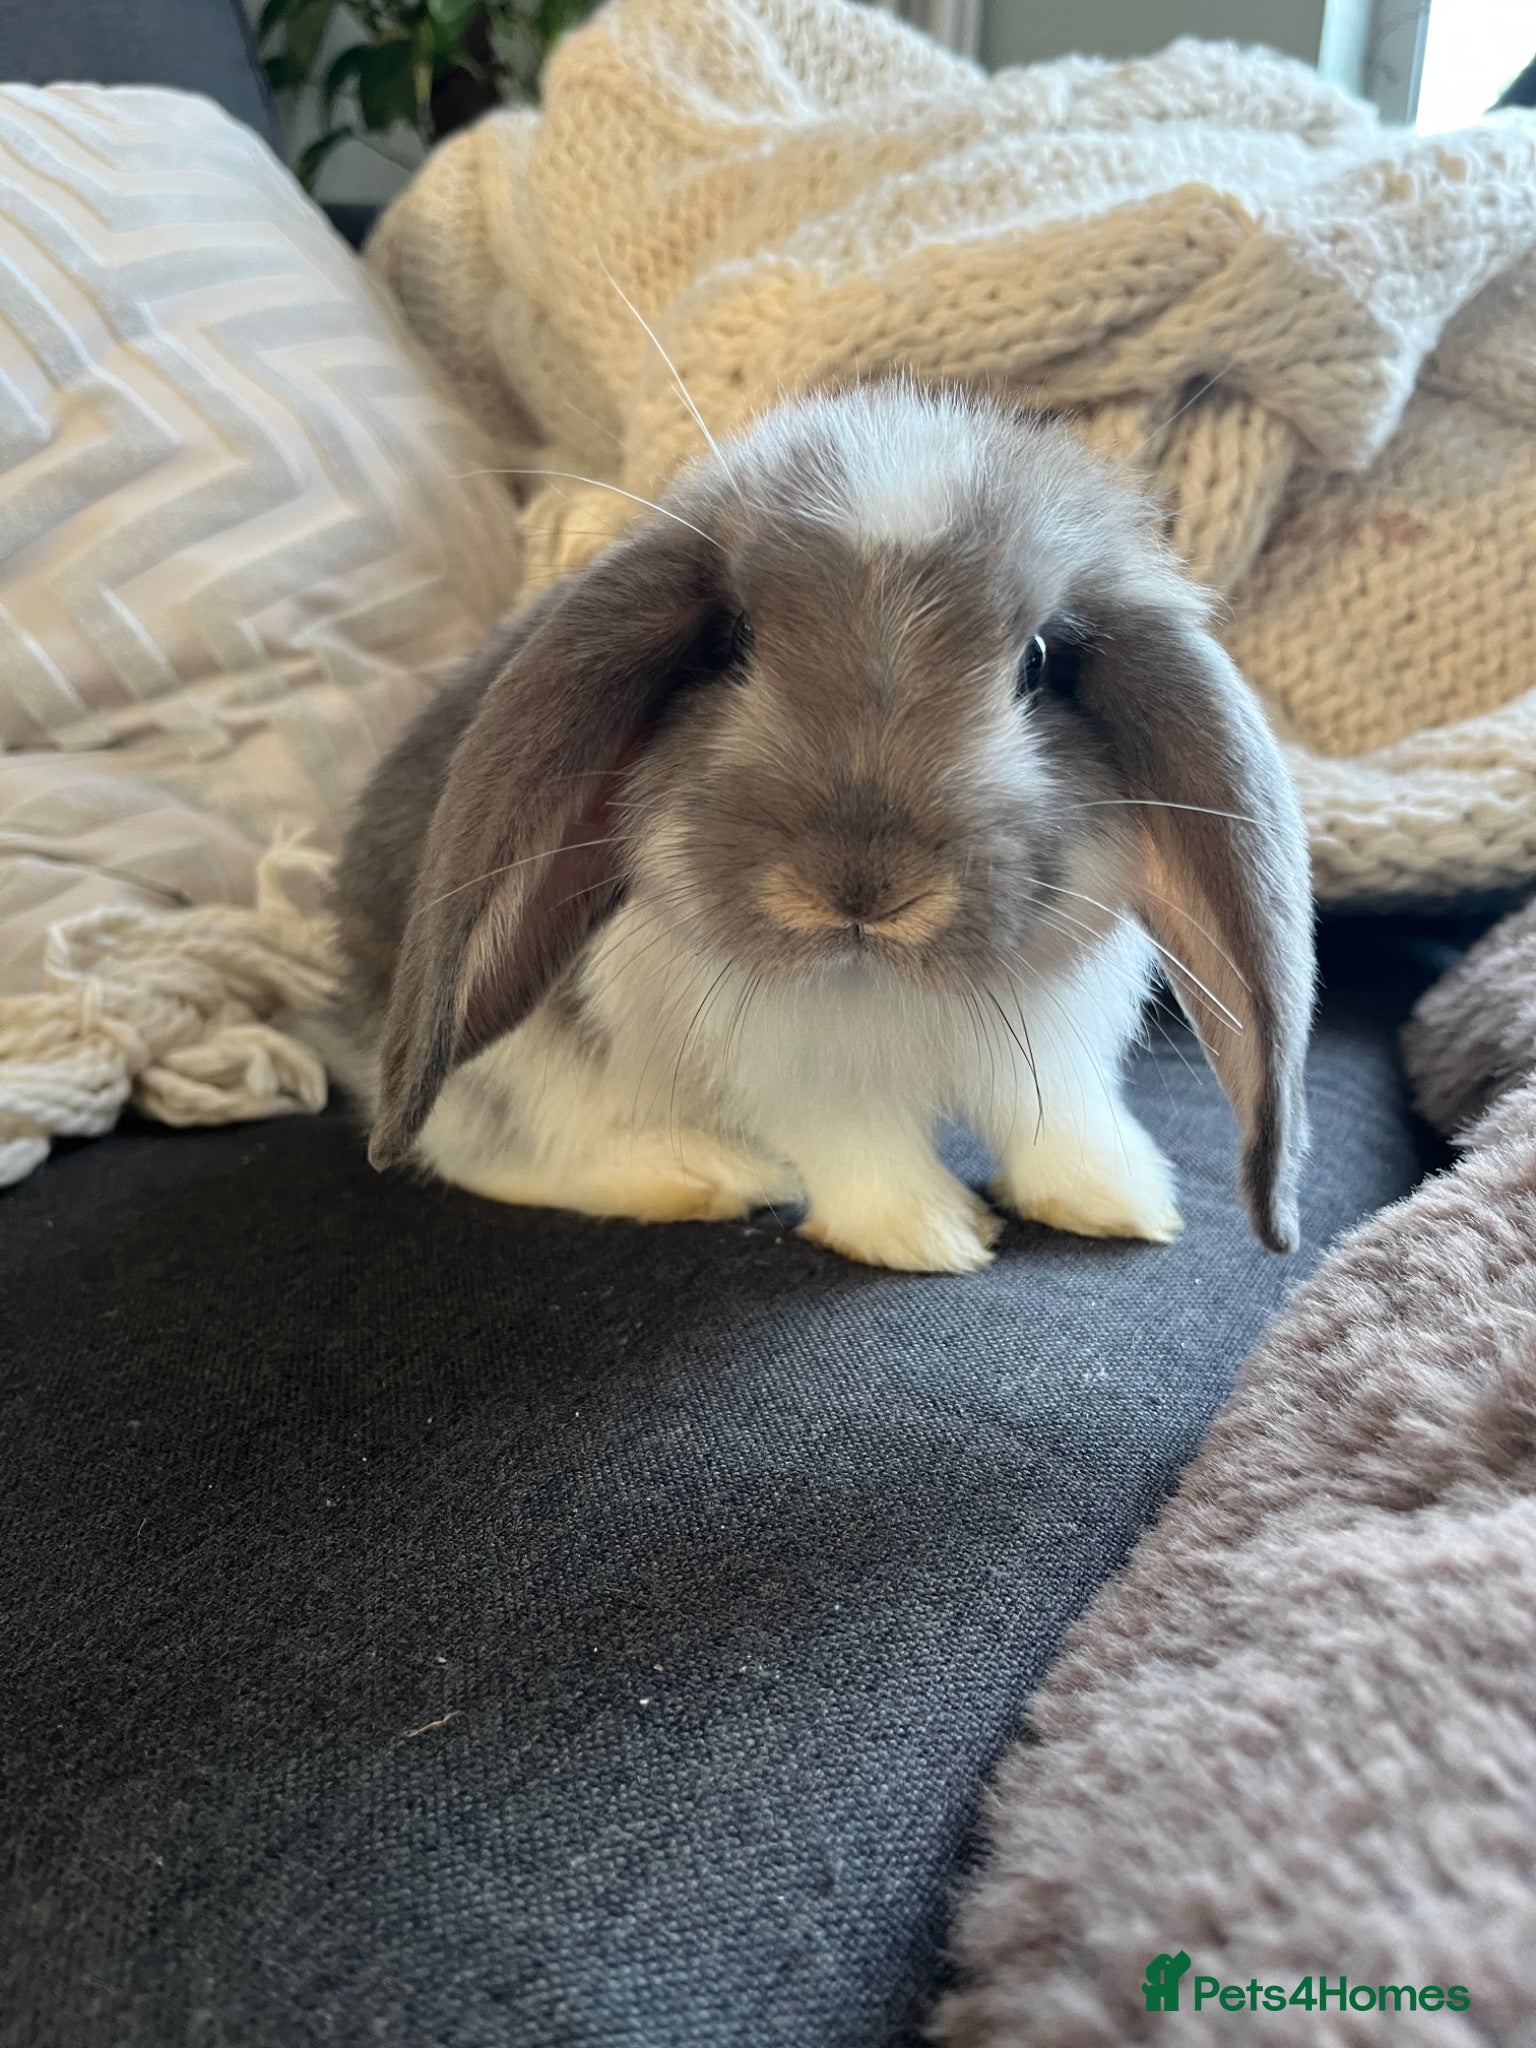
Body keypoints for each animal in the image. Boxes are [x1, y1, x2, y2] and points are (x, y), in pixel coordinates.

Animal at [328, 379, 1315, 1274]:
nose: (863, 886)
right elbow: (857, 1141)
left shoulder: (1053, 1046)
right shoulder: (798, 1072)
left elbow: (1059, 1118)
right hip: (517, 1070)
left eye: (1039, 663)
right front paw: (928, 1236)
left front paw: (1119, 1202)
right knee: (493, 1152)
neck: (877, 980)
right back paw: (701, 1176)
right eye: (729, 641)